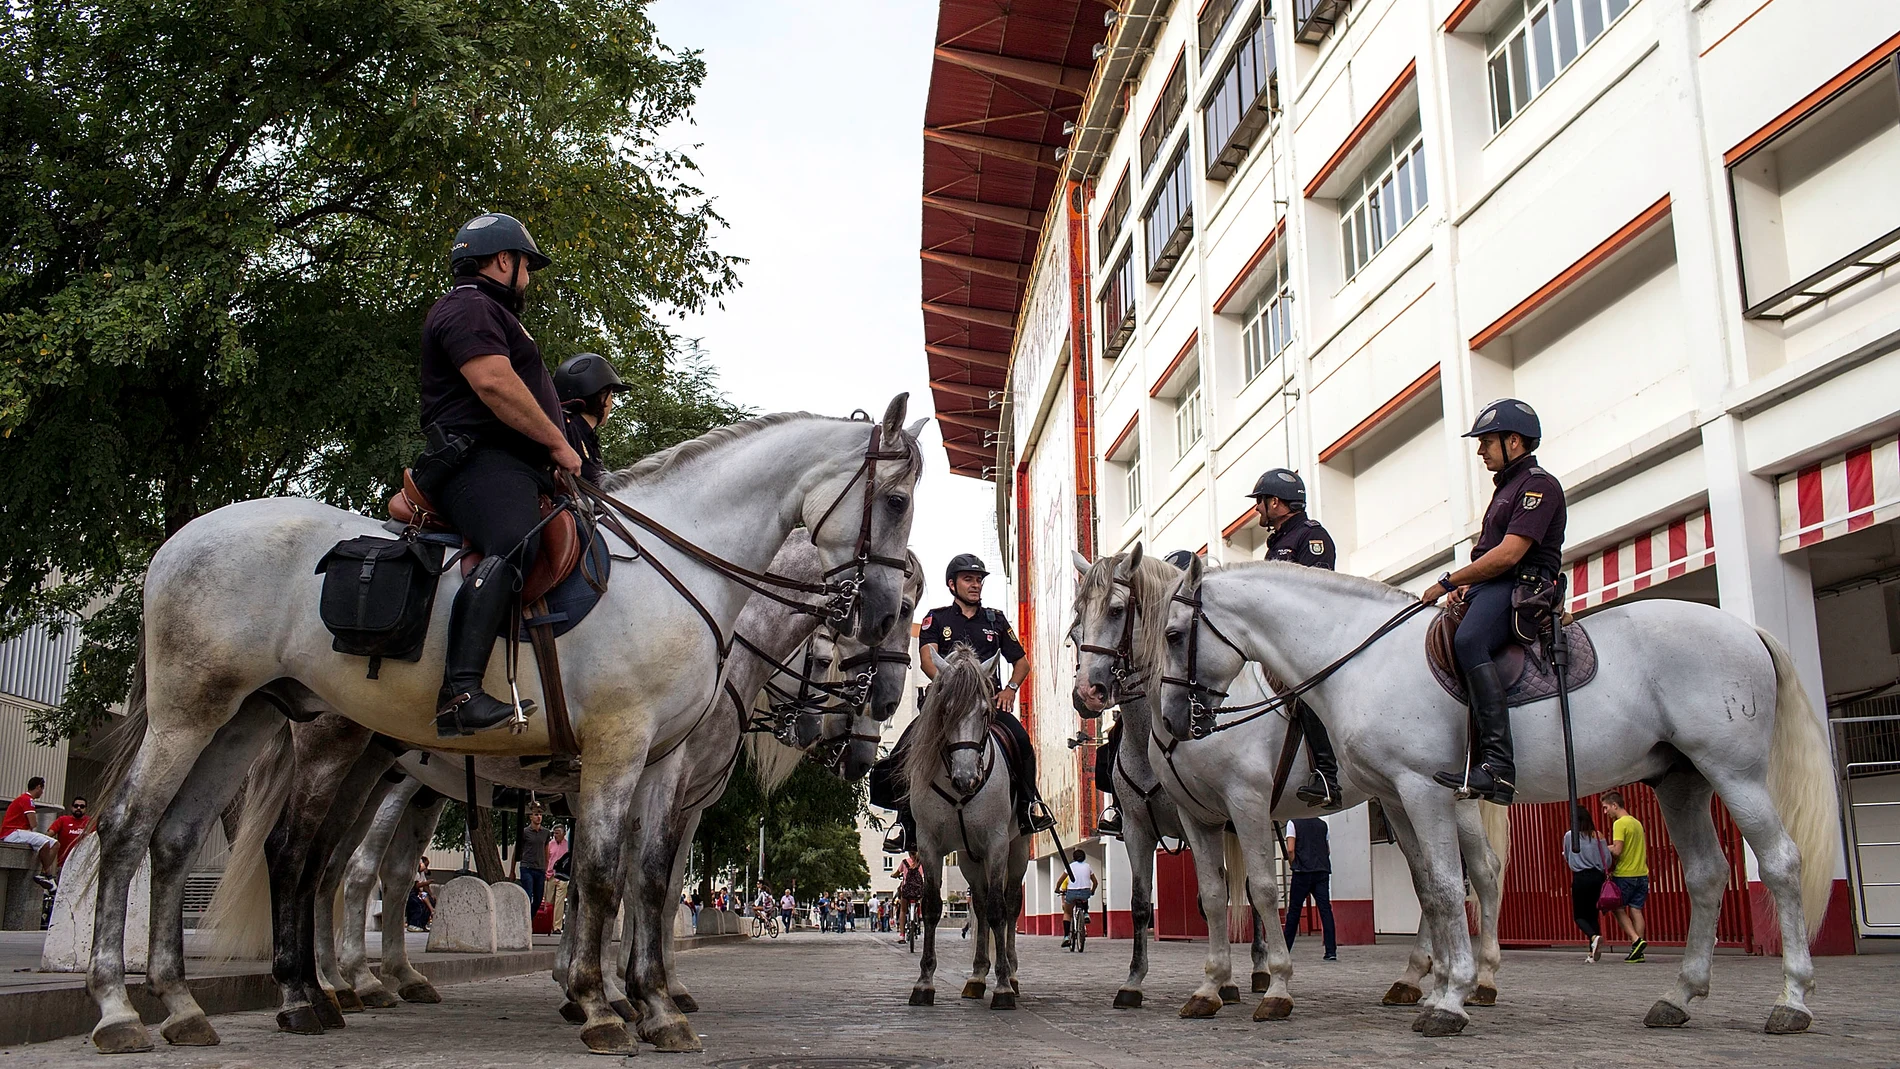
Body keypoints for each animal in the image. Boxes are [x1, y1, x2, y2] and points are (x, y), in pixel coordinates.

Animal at [85, 402, 923, 1055]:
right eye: (897, 500)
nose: (884, 693)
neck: (686, 577)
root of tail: (179, 539)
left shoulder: (661, 772)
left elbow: (650, 880)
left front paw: (652, 1003)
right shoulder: (618, 753)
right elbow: (601, 879)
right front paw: (598, 1002)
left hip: (262, 723)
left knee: (216, 844)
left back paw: (221, 1000)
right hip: (211, 717)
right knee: (175, 835)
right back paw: (148, 1005)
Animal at [900, 645, 1033, 1010]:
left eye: (986, 712)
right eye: (945, 710)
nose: (966, 778)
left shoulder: (998, 843)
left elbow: (1000, 910)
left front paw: (1002, 987)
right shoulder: (930, 845)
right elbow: (933, 907)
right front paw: (924, 983)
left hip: (1017, 850)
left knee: (1009, 902)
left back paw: (1011, 974)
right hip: (970, 858)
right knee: (980, 903)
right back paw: (976, 977)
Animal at [1079, 550, 1504, 1017]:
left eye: (1116, 610)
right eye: (1076, 620)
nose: (1088, 693)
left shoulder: (1243, 804)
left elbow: (1260, 890)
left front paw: (1268, 984)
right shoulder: (1154, 823)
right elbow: (1174, 900)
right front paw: (1144, 984)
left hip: (1448, 798)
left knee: (1480, 871)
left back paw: (1479, 981)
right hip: (1398, 798)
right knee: (1428, 878)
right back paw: (1416, 979)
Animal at [1140, 550, 1839, 1040]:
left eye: (1173, 634)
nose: (1171, 722)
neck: (1359, 657)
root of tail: (1745, 631)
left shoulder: (1418, 787)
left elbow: (1450, 888)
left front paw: (1449, 999)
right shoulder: (1399, 794)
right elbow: (1433, 886)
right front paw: (1443, 985)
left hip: (1733, 772)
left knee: (1780, 864)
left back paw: (1793, 1001)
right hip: (1680, 779)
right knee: (1706, 874)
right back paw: (1678, 996)